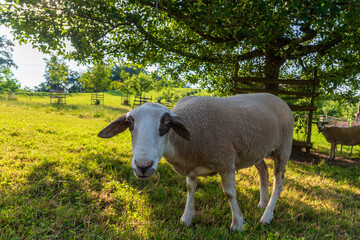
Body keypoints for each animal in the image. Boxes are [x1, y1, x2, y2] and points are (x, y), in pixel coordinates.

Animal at [97, 93, 294, 231]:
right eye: (130, 123)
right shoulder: (191, 166)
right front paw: (187, 218)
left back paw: (267, 216)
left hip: (284, 147)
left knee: (279, 182)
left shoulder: (225, 161)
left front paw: (238, 224)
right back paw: (262, 203)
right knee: (263, 171)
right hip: (255, 150)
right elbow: (190, 189)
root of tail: (277, 97)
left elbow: (230, 194)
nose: (142, 166)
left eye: (167, 124)